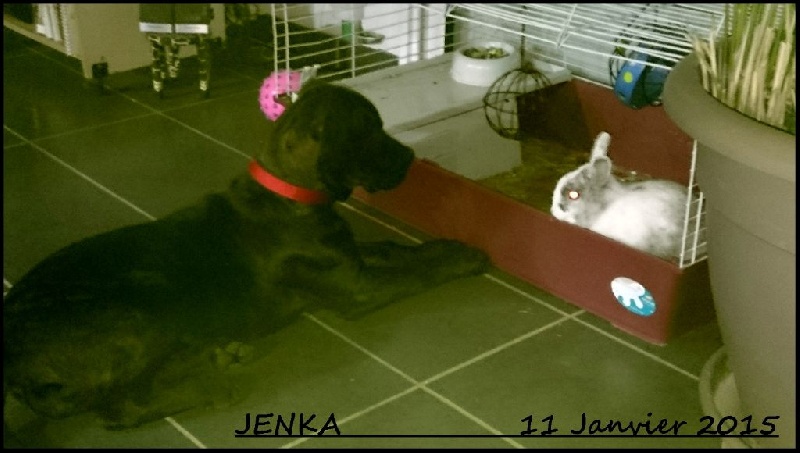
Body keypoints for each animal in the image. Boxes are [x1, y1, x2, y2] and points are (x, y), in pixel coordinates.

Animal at [3, 80, 491, 432]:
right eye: (368, 132)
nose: (410, 156)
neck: (290, 195)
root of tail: (13, 361)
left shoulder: (351, 261)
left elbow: (396, 250)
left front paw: (447, 247)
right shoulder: (359, 291)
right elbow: (418, 275)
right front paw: (464, 261)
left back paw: (219, 354)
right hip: (140, 308)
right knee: (120, 408)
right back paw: (214, 385)